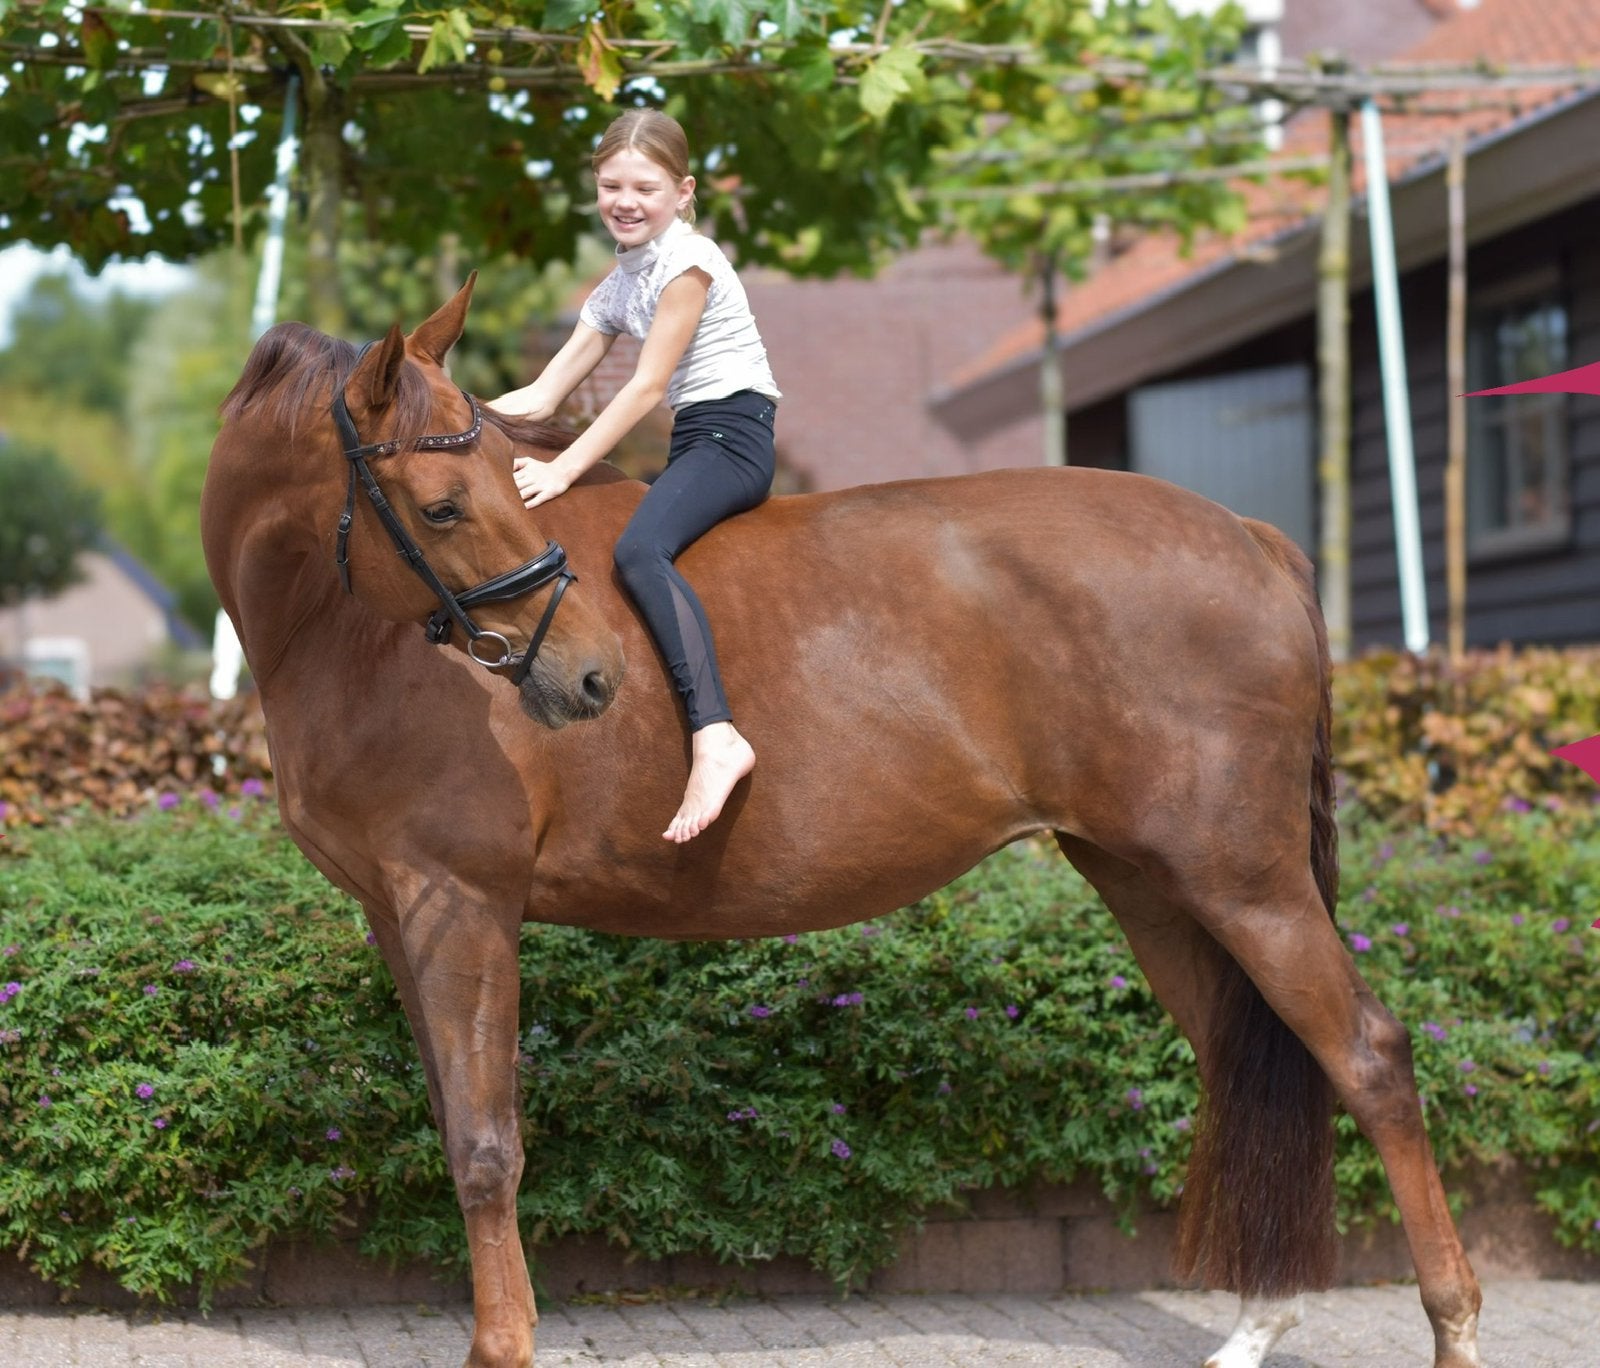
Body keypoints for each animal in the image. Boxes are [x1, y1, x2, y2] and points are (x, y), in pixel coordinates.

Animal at [199, 278, 1482, 1368]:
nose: (586, 678)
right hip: (1150, 881)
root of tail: (1253, 540)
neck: (350, 638)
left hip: (1243, 879)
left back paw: (1452, 1323)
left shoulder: (460, 902)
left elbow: (483, 1143)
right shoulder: (398, 914)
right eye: (440, 502)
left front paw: (502, 1342)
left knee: (1367, 1059)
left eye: (492, 487)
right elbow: (453, 1122)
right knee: (1245, 1061)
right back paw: (1260, 1322)